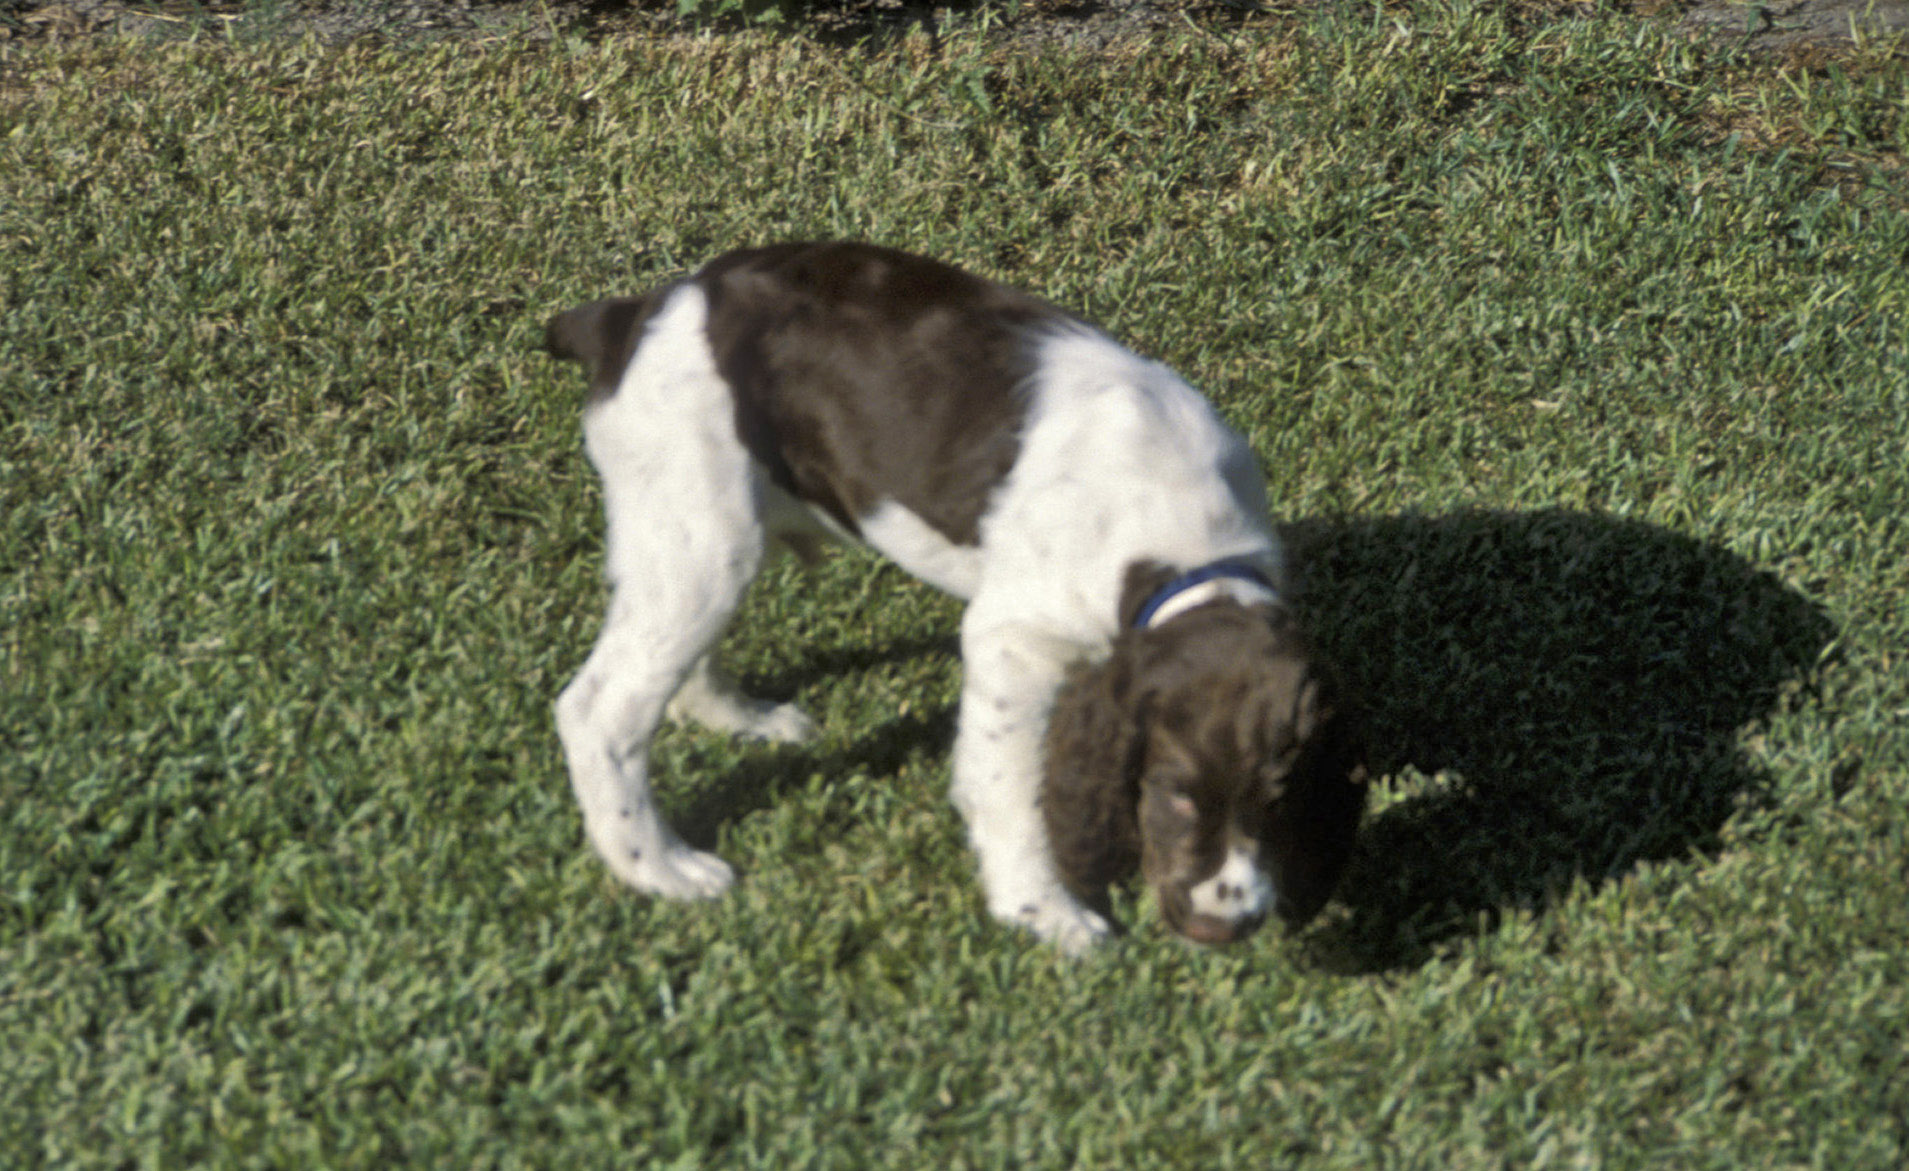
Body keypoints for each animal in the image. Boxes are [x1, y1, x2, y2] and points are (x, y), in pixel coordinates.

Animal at [542, 241, 1365, 953]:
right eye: (1174, 792)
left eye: (1279, 802)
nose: (1220, 928)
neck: (1189, 553)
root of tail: (637, 311)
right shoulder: (1013, 639)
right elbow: (1013, 788)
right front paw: (1044, 912)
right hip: (699, 523)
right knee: (598, 710)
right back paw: (658, 867)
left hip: (707, 536)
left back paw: (743, 719)